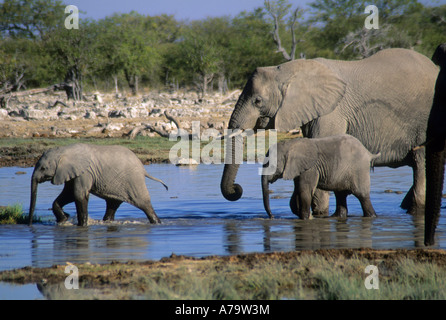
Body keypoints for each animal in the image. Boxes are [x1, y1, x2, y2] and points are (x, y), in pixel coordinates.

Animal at [29, 144, 169, 226]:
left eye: (43, 168)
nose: (29, 224)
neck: (64, 150)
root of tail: (143, 169)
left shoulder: (84, 172)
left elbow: (78, 195)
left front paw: (82, 225)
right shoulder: (71, 172)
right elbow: (68, 194)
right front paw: (64, 218)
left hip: (133, 181)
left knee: (144, 204)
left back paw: (157, 223)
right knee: (112, 204)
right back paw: (107, 221)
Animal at [221, 48, 438, 215]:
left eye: (258, 101)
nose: (237, 189)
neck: (289, 69)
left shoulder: (332, 112)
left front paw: (316, 212)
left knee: (421, 164)